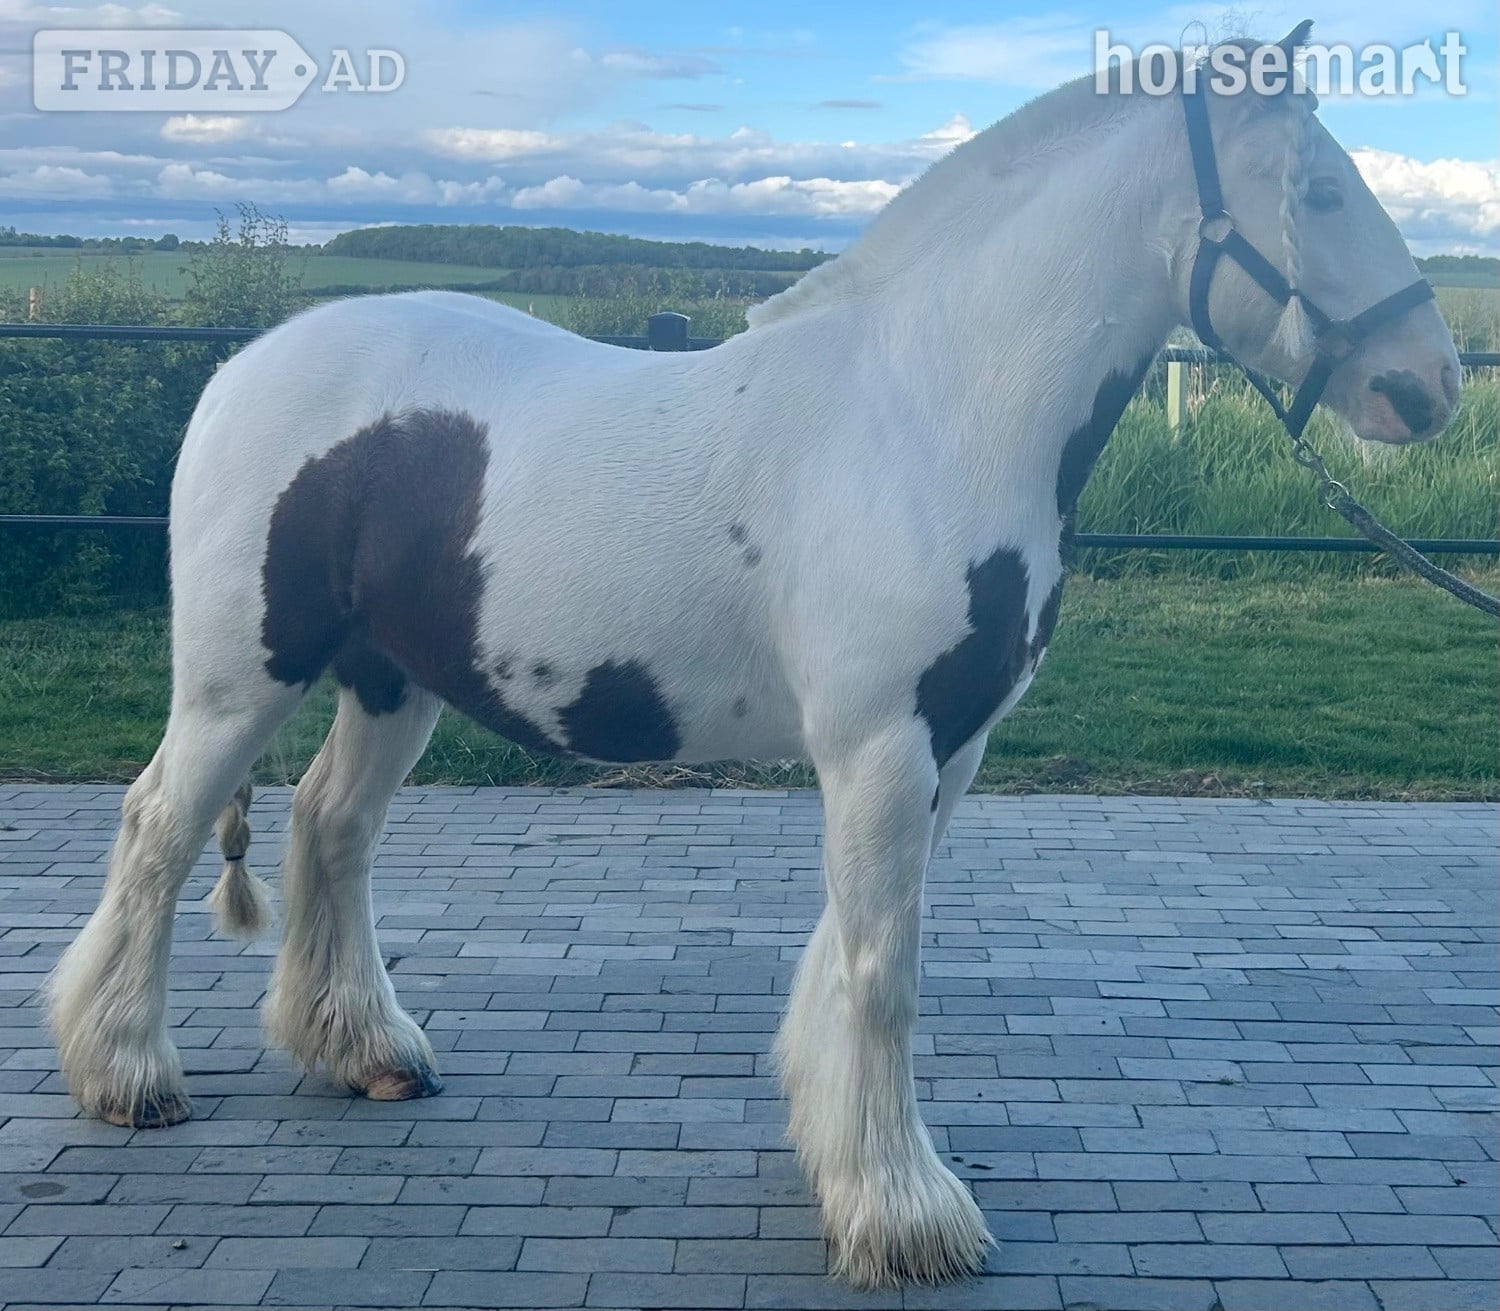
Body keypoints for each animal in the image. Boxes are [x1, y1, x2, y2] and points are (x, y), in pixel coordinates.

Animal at [49, 25, 1459, 1288]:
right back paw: (126, 1074)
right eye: (1323, 191)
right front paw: (905, 1217)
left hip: (392, 682)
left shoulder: (948, 750)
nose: (1433, 384)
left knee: (329, 826)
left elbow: (846, 955)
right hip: (242, 679)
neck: (929, 409)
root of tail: (240, 370)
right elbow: (885, 972)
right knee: (158, 828)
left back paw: (364, 1052)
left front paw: (845, 1165)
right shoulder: (880, 747)